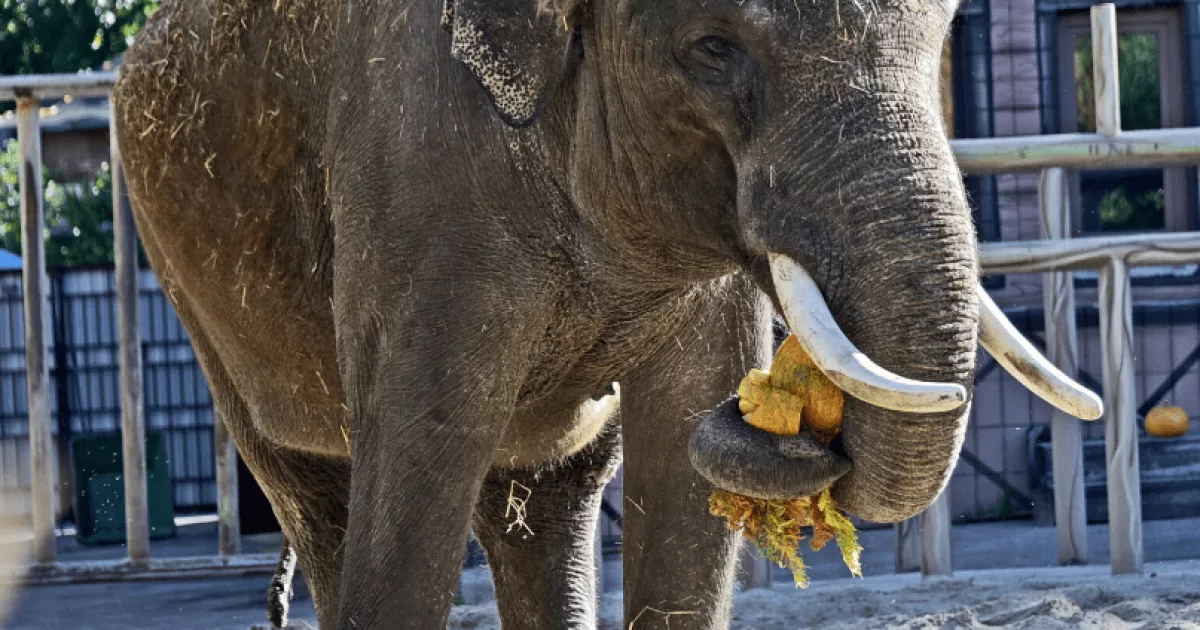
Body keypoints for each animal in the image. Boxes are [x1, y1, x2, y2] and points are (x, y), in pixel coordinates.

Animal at [111, 0, 1101, 627]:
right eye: (713, 48)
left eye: (944, 35)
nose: (785, 423)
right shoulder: (416, 175)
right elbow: (422, 458)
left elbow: (682, 449)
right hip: (191, 286)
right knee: (318, 497)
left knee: (551, 492)